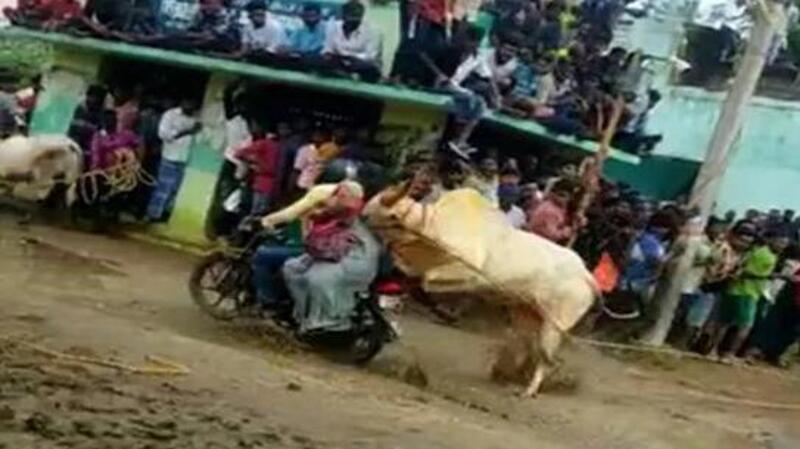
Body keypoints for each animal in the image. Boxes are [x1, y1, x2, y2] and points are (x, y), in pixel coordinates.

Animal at [366, 181, 596, 396]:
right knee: (529, 346)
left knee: (546, 358)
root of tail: (586, 275)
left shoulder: (469, 273)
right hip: (527, 314)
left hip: (555, 324)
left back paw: (529, 390)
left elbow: (424, 280)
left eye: (383, 213)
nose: (362, 215)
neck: (428, 228)